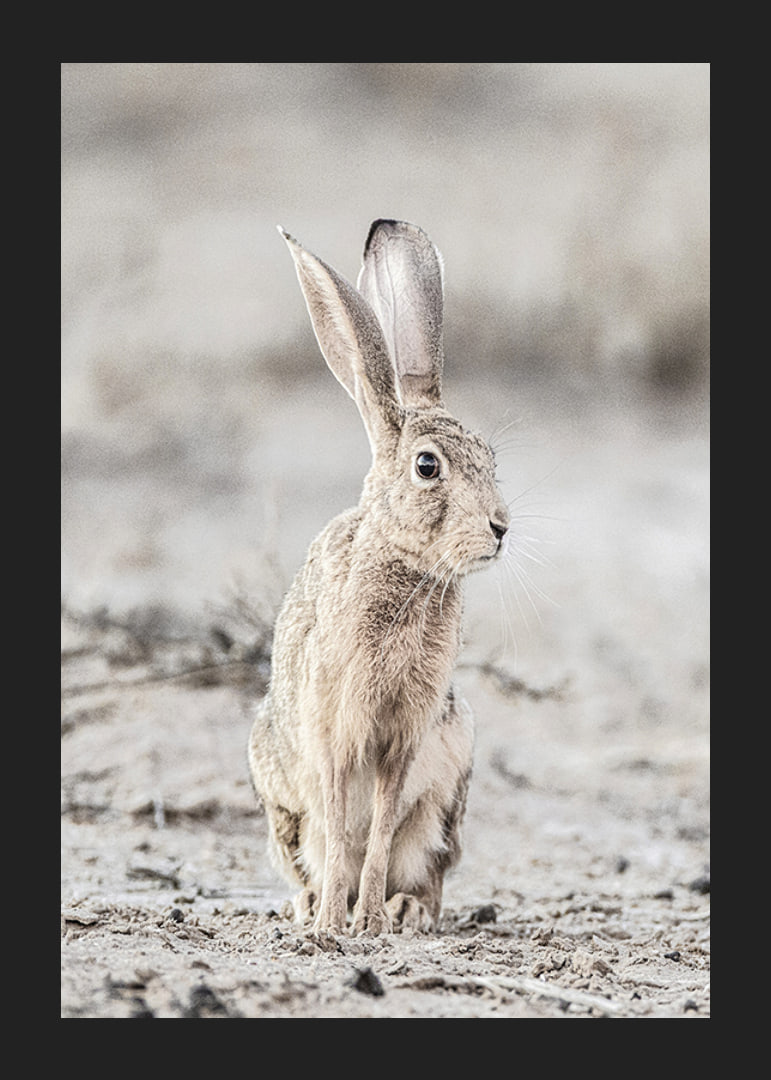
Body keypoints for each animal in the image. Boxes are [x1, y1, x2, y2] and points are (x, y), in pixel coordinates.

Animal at [248, 219, 510, 935]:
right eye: (427, 467)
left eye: (490, 459)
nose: (501, 528)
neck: (405, 568)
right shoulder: (335, 729)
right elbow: (344, 826)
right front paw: (334, 923)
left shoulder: (405, 737)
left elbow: (383, 826)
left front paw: (367, 919)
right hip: (281, 799)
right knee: (313, 848)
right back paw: (310, 904)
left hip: (450, 788)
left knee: (425, 868)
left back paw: (405, 909)